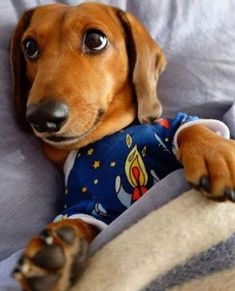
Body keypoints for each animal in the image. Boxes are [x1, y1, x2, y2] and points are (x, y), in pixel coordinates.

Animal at [10, 2, 235, 291]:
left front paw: (217, 154)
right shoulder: (85, 204)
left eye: (95, 40)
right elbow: (76, 220)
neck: (104, 136)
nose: (41, 117)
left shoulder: (168, 126)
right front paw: (53, 246)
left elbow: (190, 127)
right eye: (30, 47)